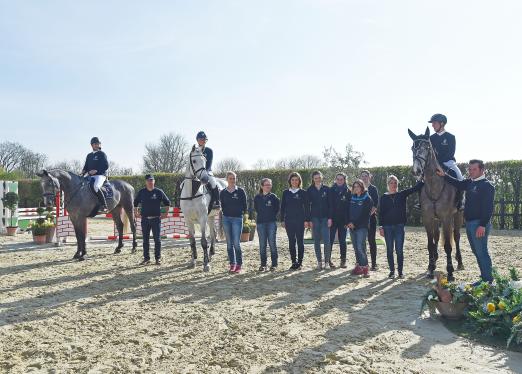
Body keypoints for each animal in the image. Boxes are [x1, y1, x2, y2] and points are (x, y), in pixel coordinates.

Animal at [406, 129, 464, 280]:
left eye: (427, 147)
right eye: (412, 148)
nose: (416, 171)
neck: (434, 184)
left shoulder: (446, 218)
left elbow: (448, 245)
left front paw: (450, 272)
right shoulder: (427, 218)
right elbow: (430, 244)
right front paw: (431, 268)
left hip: (458, 216)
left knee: (456, 236)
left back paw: (459, 262)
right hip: (436, 219)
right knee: (437, 237)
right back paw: (434, 260)